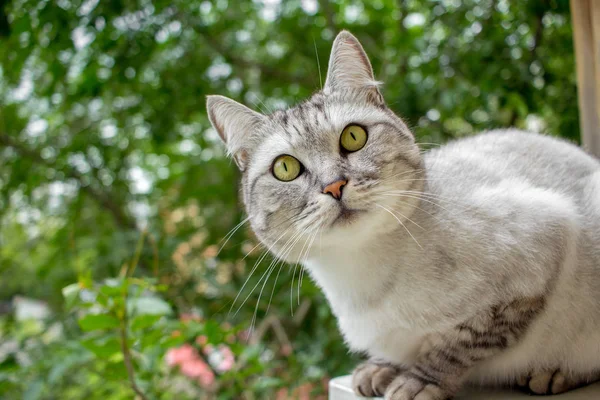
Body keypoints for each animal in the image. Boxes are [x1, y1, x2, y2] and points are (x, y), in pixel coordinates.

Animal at [206, 31, 600, 400]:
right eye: (285, 168)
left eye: (353, 137)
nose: (334, 186)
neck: (360, 275)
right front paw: (381, 368)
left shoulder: (537, 256)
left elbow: (456, 345)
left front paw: (417, 381)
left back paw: (554, 374)